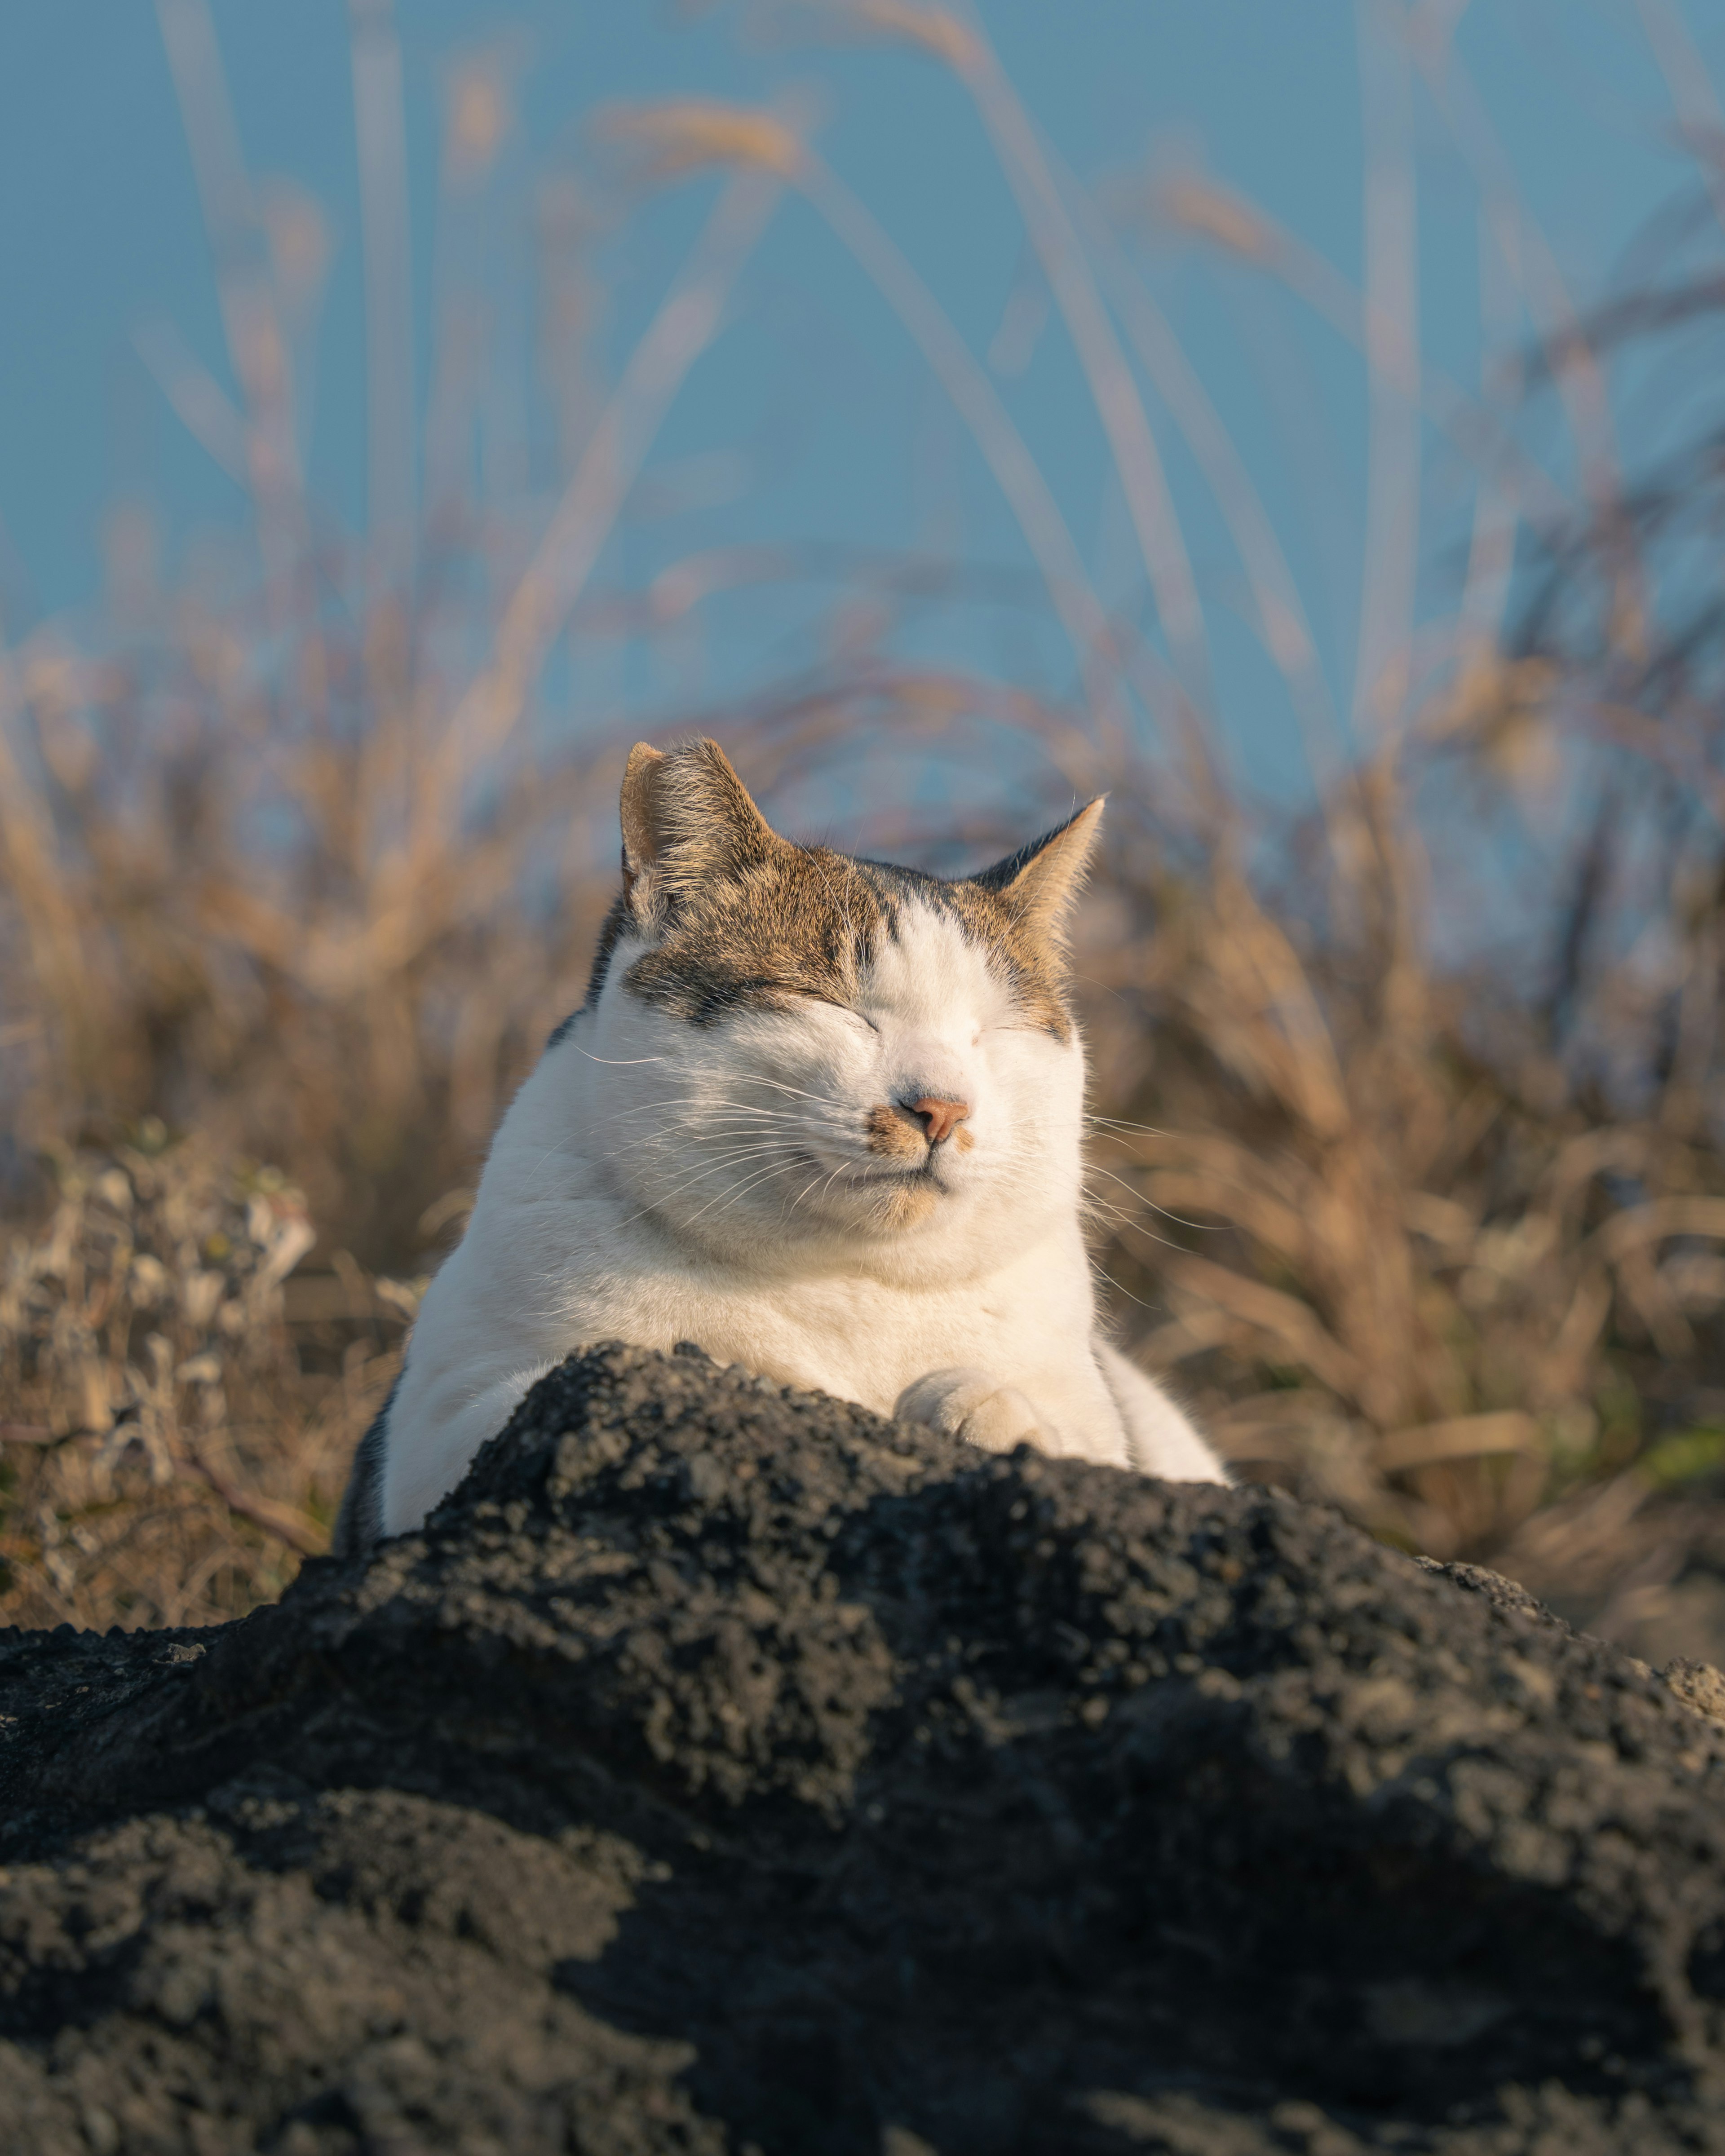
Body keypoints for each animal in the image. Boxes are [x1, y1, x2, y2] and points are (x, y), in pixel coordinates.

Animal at [334, 742, 1225, 1552]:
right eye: (831, 1006)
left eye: (992, 1033)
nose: (942, 1109)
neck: (848, 1281)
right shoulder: (443, 1422)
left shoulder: (1092, 1409)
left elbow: (1057, 1423)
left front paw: (992, 1412)